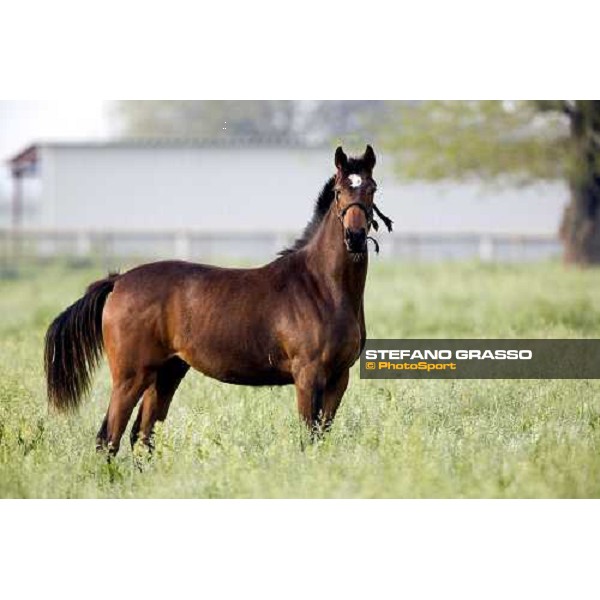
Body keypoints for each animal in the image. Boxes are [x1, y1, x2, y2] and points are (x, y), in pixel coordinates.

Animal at [45, 145, 394, 454]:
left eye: (372, 189)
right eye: (338, 191)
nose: (355, 238)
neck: (321, 287)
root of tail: (118, 281)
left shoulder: (339, 377)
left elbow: (322, 434)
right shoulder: (308, 375)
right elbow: (308, 436)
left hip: (166, 373)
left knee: (141, 436)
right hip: (131, 377)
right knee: (109, 437)